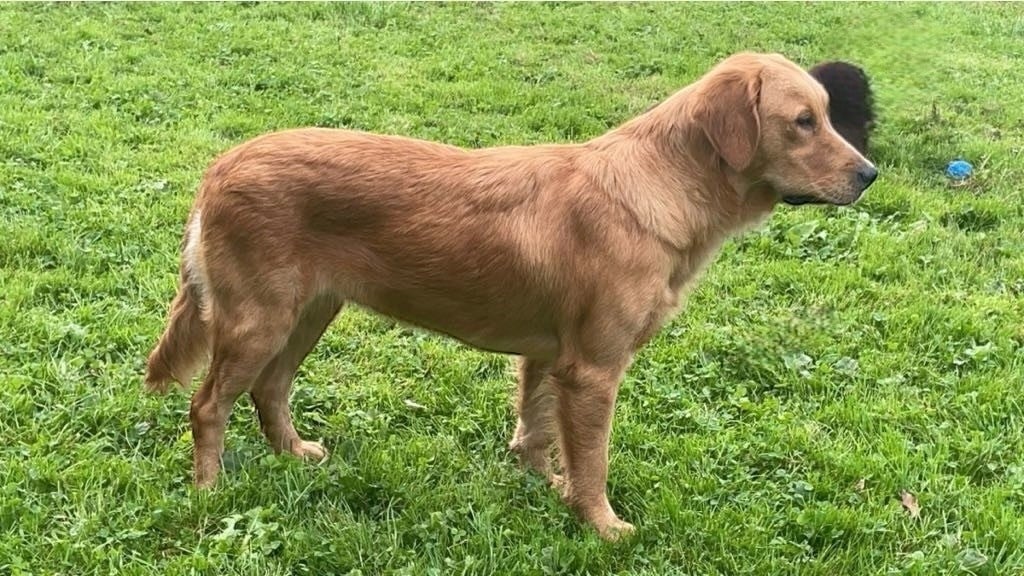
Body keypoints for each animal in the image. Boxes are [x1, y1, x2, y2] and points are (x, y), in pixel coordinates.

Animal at [146, 50, 880, 537]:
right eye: (803, 121)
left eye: (827, 115)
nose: (870, 174)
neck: (661, 188)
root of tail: (220, 166)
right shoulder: (594, 368)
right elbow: (593, 459)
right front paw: (601, 525)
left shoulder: (548, 355)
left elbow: (536, 431)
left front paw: (545, 486)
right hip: (258, 320)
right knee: (207, 405)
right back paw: (209, 491)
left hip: (308, 313)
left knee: (269, 390)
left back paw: (293, 456)